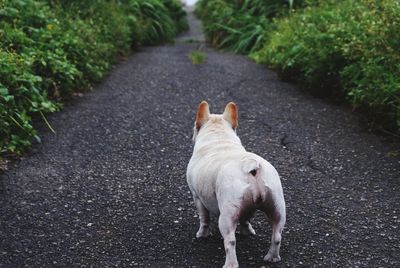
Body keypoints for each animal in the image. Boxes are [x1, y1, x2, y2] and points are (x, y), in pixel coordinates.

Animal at [186, 101, 286, 268]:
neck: (219, 138)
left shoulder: (197, 196)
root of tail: (252, 166)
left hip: (227, 216)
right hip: (277, 205)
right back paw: (272, 257)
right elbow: (246, 218)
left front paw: (202, 234)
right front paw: (247, 230)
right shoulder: (248, 207)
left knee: (230, 242)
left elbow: (204, 218)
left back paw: (230, 264)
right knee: (277, 235)